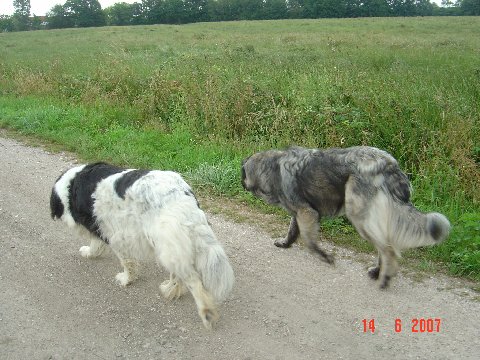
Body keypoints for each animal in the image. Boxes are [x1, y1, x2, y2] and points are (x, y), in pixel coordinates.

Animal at [50, 163, 234, 330]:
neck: (72, 186)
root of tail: (181, 197)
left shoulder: (114, 234)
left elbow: (126, 263)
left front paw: (125, 279)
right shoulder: (103, 228)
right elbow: (98, 244)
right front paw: (90, 253)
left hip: (166, 245)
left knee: (194, 281)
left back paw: (206, 312)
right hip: (170, 245)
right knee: (180, 273)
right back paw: (170, 290)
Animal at [242, 145, 452, 288]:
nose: (241, 182)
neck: (272, 168)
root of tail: (388, 165)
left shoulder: (307, 213)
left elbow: (309, 242)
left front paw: (325, 256)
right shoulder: (301, 212)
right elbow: (293, 231)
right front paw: (286, 243)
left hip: (358, 216)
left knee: (387, 249)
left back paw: (385, 277)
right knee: (385, 245)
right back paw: (378, 272)